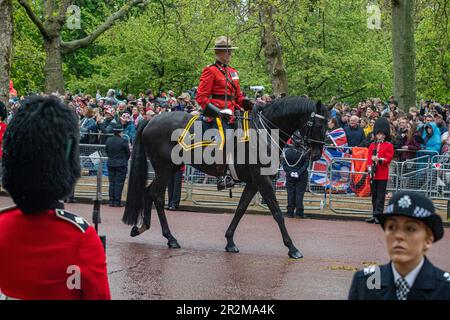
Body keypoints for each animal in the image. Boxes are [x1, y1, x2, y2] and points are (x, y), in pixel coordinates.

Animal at [121, 96, 328, 258]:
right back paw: (169, 237)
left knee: (149, 192)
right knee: (155, 195)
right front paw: (292, 248)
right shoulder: (263, 181)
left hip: (170, 168)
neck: (265, 133)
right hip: (164, 168)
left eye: (327, 125)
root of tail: (151, 120)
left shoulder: (254, 183)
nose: (317, 154)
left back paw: (142, 227)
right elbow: (277, 213)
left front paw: (230, 241)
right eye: (319, 125)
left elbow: (241, 209)